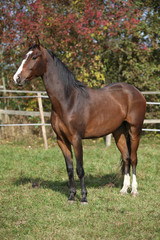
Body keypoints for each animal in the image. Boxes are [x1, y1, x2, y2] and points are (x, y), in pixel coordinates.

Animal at [13, 38, 146, 204]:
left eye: (34, 57)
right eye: (25, 56)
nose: (17, 78)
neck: (68, 99)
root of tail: (136, 92)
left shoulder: (76, 139)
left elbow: (80, 169)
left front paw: (83, 198)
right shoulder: (62, 140)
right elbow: (70, 169)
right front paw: (71, 196)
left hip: (135, 131)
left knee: (133, 159)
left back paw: (134, 191)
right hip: (119, 133)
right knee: (126, 158)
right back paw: (123, 190)